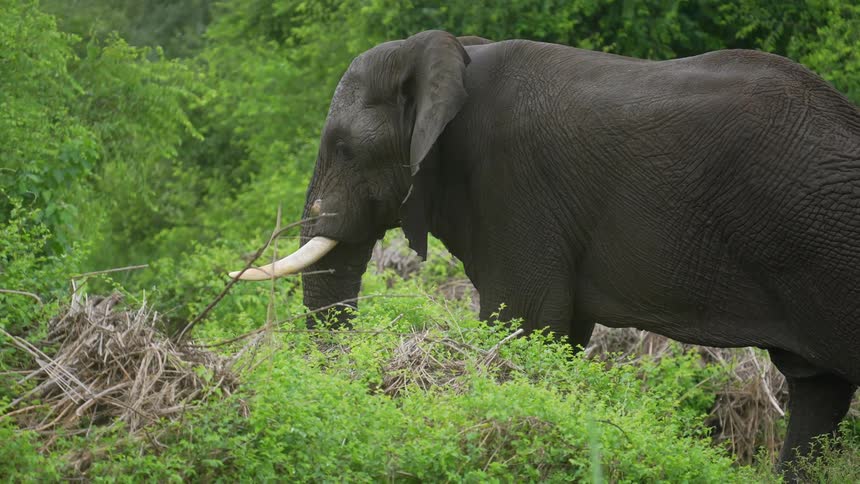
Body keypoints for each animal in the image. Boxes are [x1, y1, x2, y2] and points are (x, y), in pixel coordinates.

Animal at [230, 30, 860, 473]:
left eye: (343, 147)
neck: (455, 55)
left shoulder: (515, 185)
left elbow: (528, 319)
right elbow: (560, 332)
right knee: (818, 391)